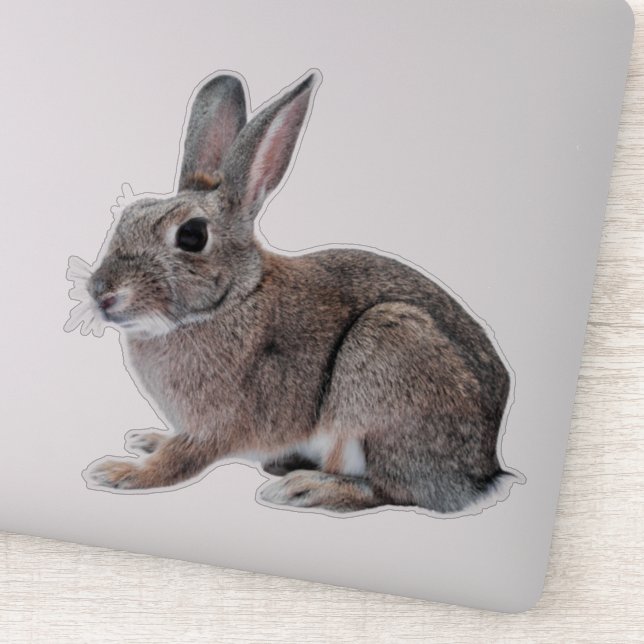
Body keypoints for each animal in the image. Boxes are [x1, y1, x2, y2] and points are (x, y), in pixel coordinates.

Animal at [71, 69, 523, 514]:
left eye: (192, 235)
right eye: (127, 216)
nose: (102, 293)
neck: (232, 300)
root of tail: (483, 470)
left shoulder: (216, 426)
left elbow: (179, 461)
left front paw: (120, 472)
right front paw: (148, 440)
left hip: (387, 357)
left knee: (391, 491)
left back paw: (306, 488)